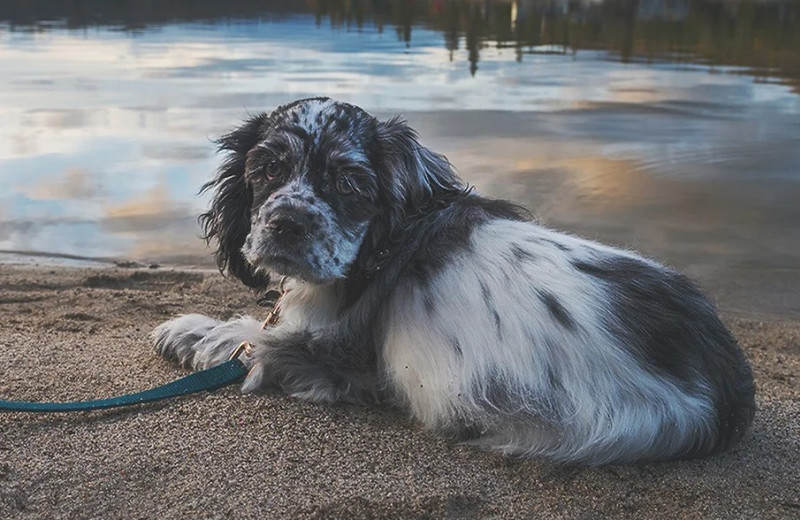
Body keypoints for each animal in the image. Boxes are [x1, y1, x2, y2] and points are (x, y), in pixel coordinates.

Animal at [155, 96, 756, 464]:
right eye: (268, 170)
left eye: (349, 183)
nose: (287, 223)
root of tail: (728, 393)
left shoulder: (348, 361)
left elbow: (256, 340)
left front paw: (194, 331)